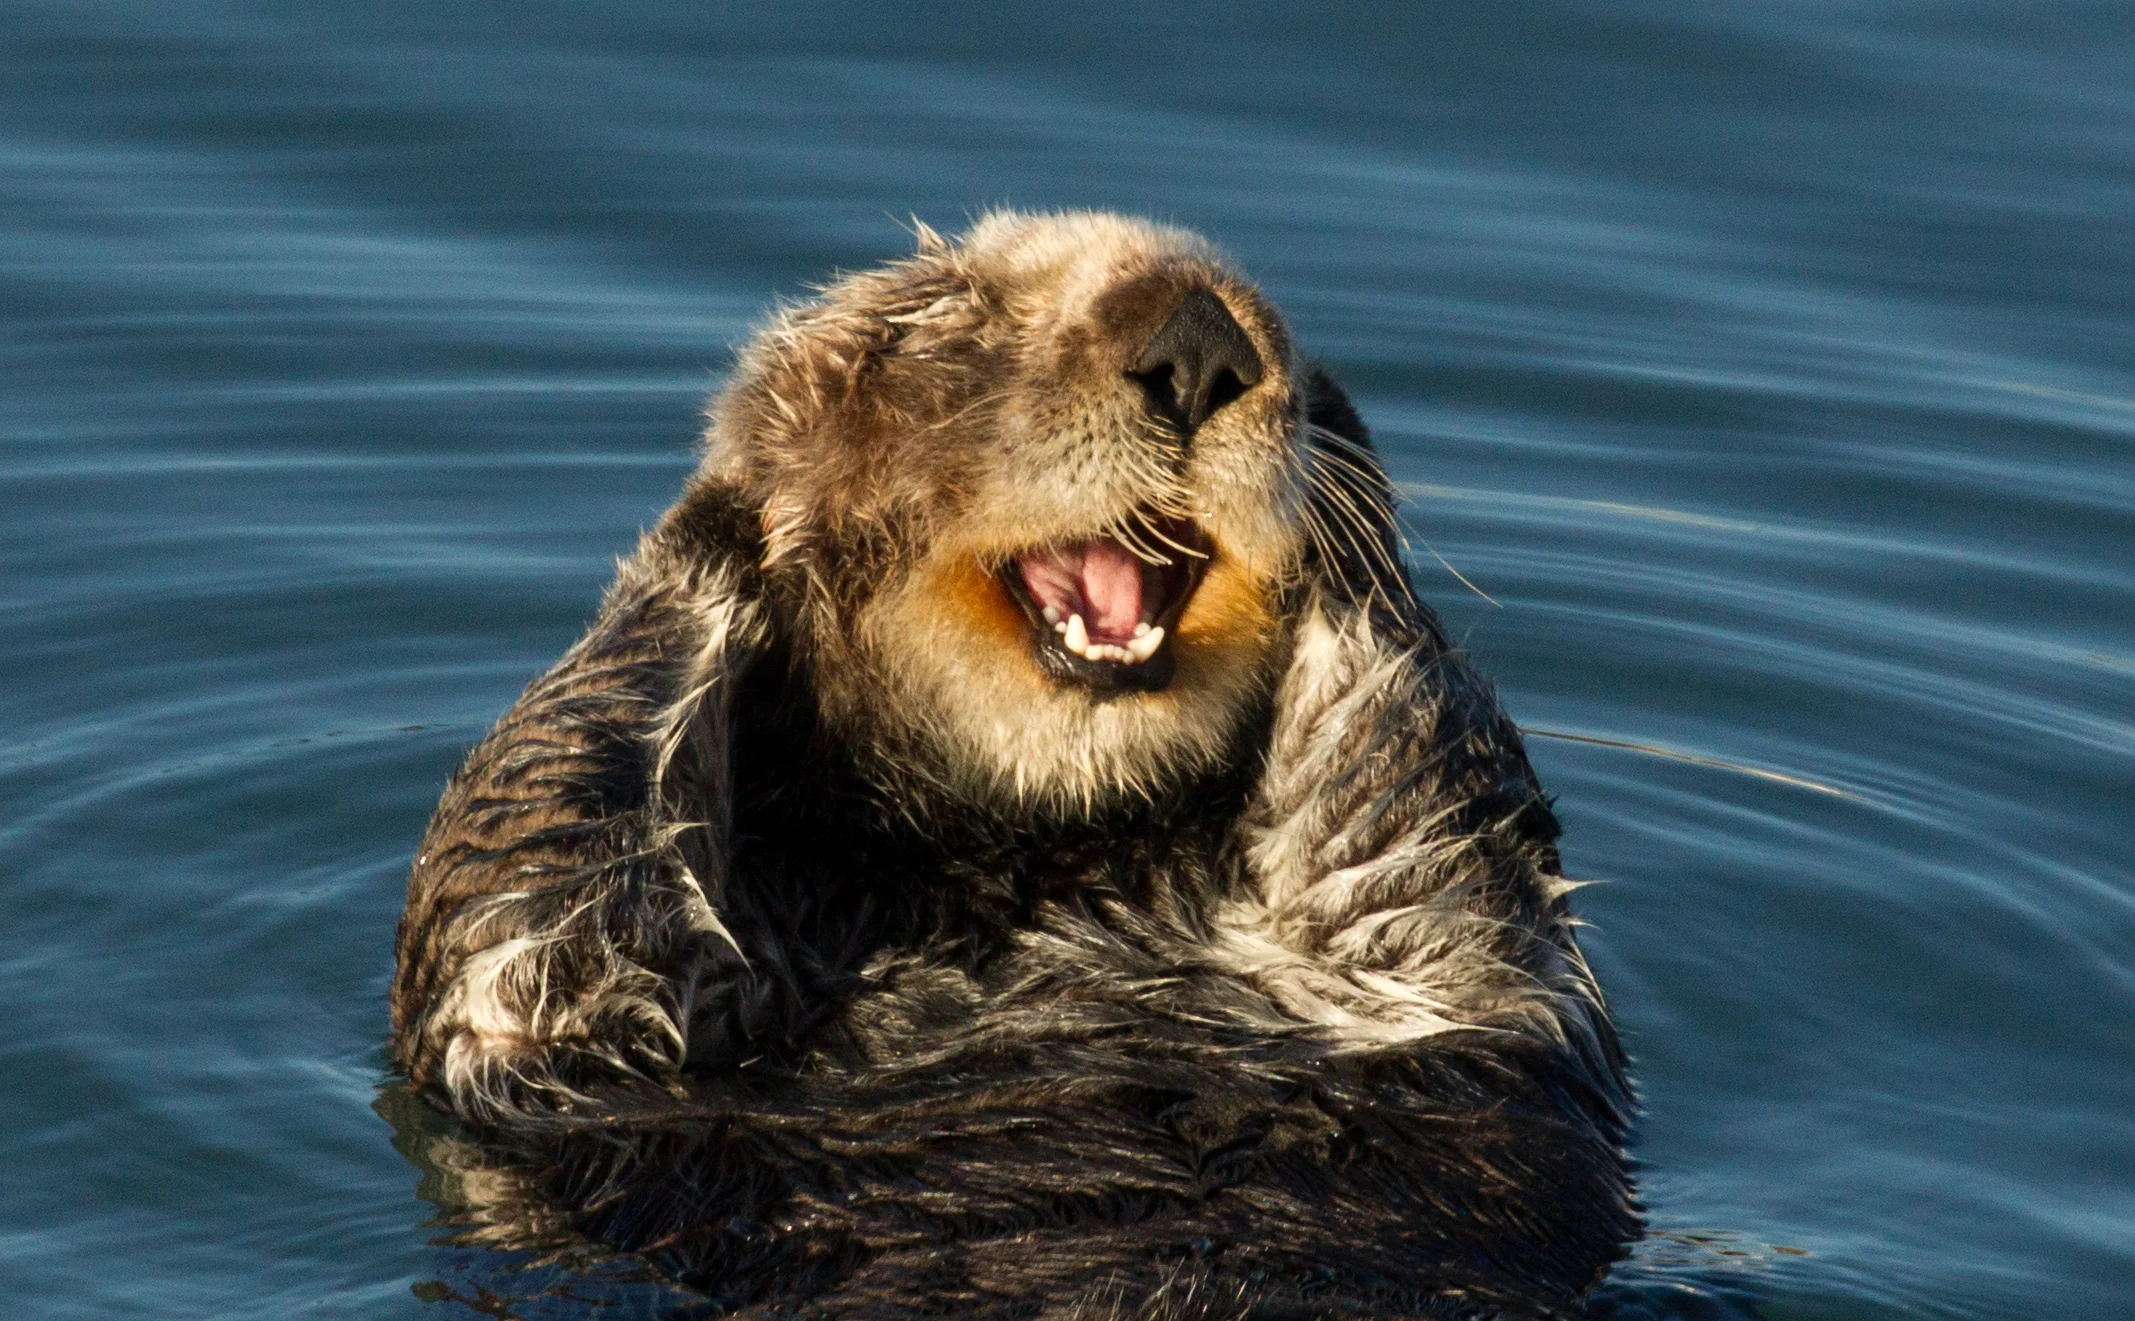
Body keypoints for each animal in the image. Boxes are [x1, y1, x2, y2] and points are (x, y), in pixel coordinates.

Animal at [390, 211, 1635, 1319]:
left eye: (1269, 321)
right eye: (963, 323)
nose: (1200, 342)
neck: (1026, 869)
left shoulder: (1441, 965)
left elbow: (1430, 834)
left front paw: (1350, 520)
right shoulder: (552, 1010)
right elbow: (535, 857)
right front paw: (729, 516)